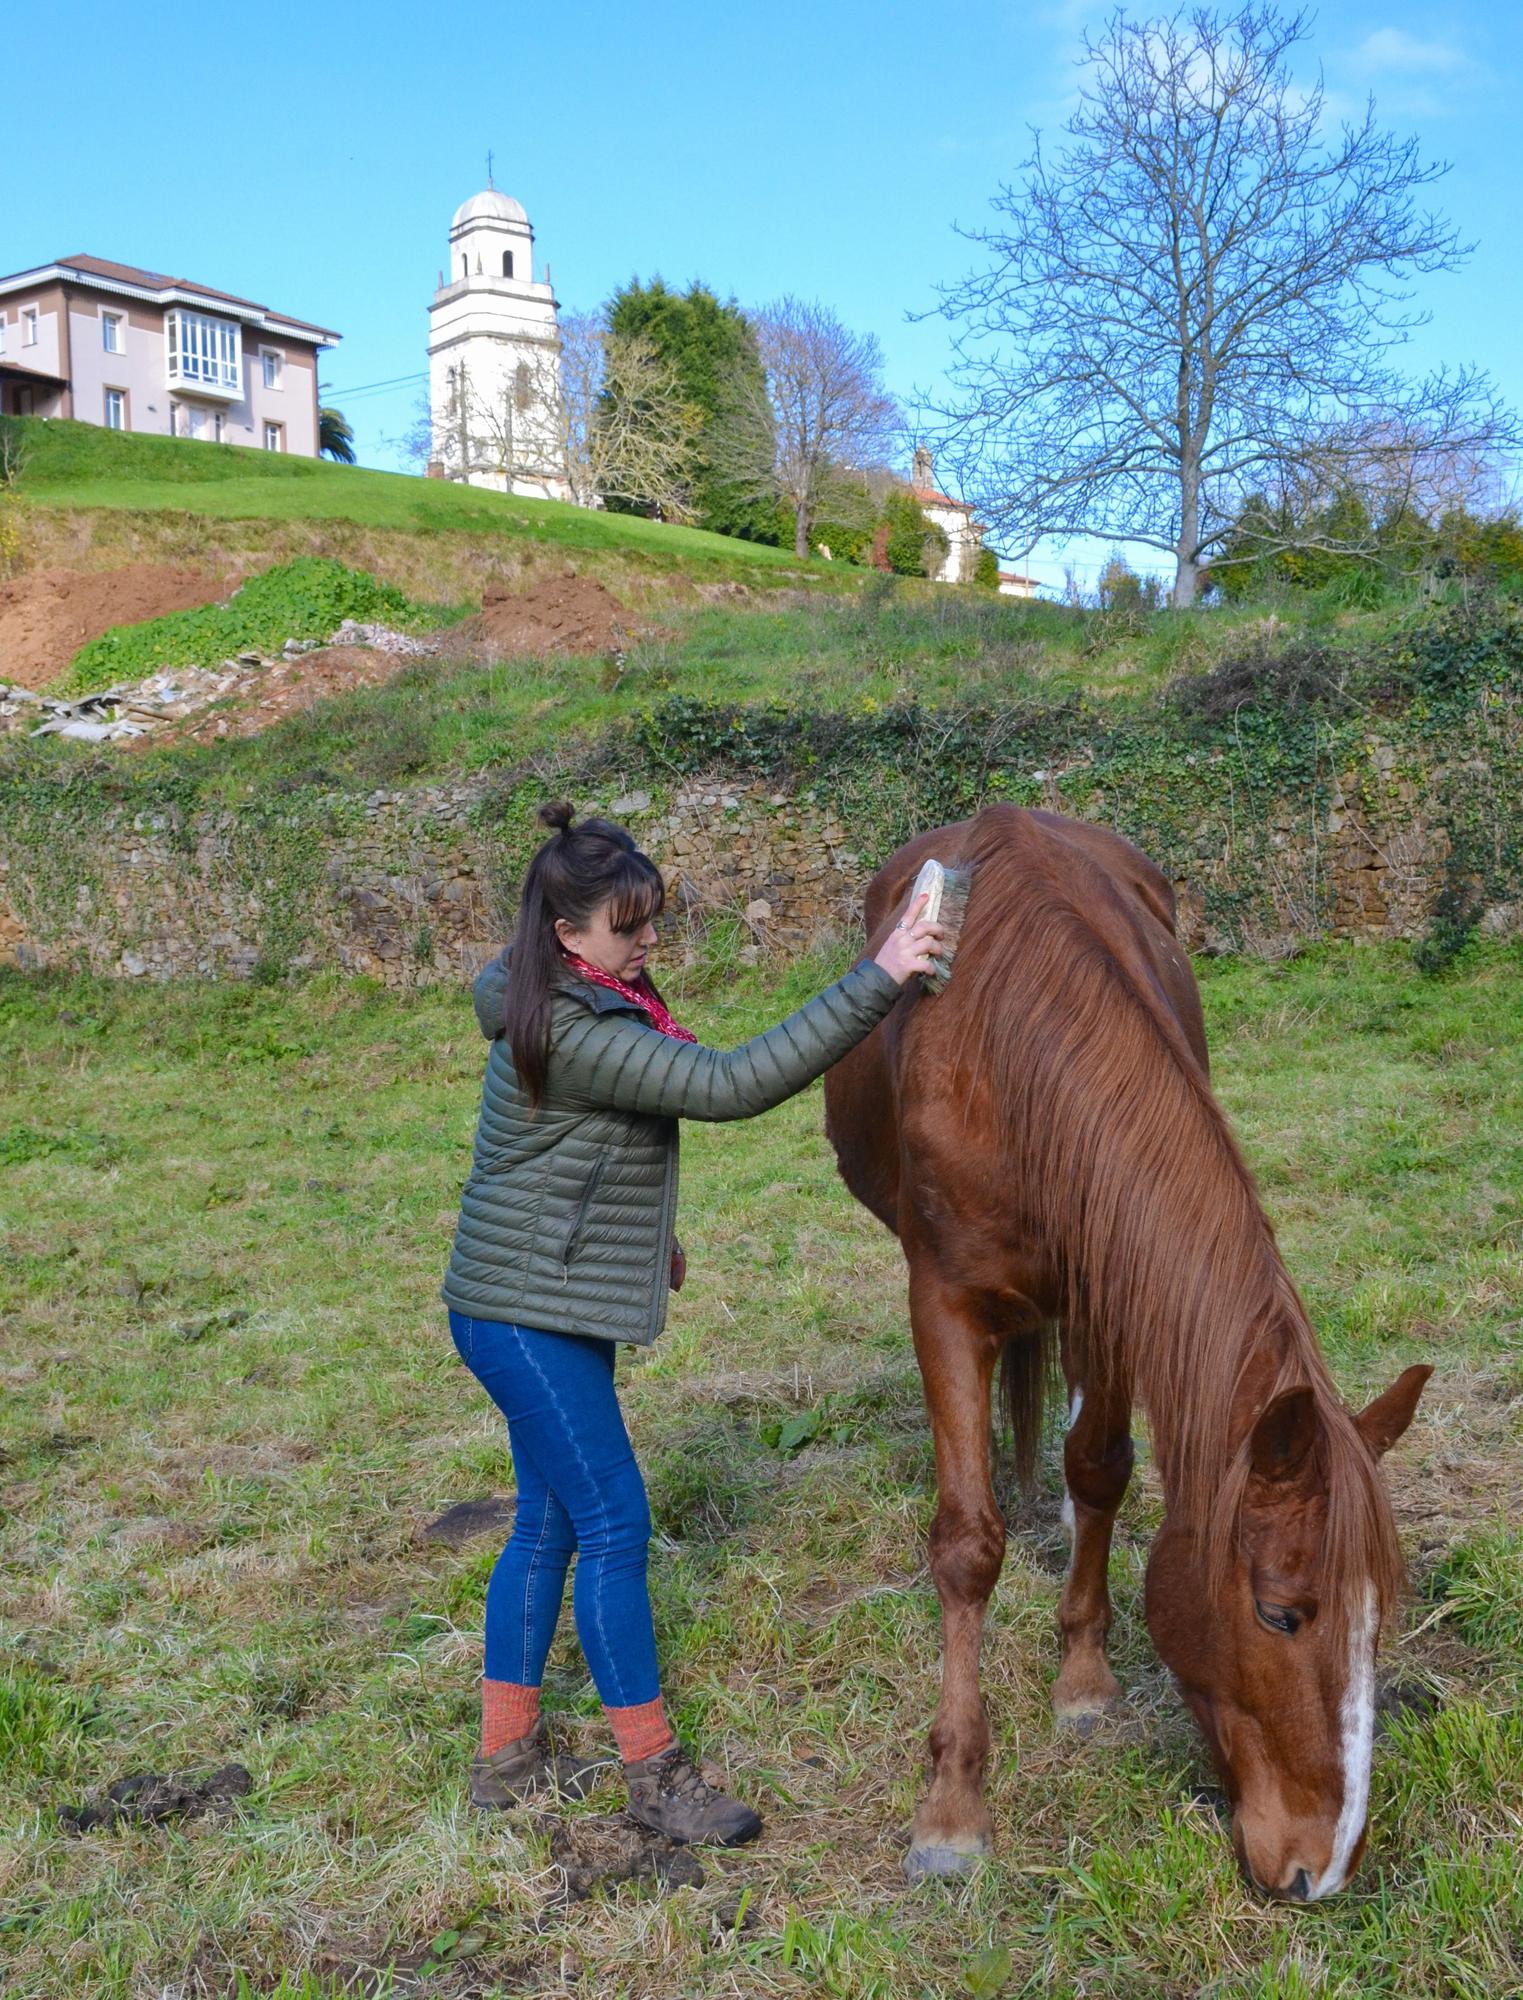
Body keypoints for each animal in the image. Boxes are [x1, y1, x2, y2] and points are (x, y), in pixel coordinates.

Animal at [819, 804, 1423, 1896]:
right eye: (1280, 1613)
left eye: (1378, 1616)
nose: (1321, 1868)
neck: (1010, 1049)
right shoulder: (941, 1302)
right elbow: (964, 1544)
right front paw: (951, 1804)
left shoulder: (1109, 1288)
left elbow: (1098, 1467)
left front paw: (1084, 1675)